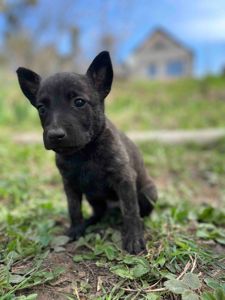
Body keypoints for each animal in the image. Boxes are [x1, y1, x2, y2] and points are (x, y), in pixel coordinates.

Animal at [16, 51, 157, 253]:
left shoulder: (124, 179)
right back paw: (90, 221)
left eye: (79, 102)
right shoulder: (70, 185)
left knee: (138, 211)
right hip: (93, 197)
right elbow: (74, 209)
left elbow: (130, 211)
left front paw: (134, 238)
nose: (54, 135)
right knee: (100, 211)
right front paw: (76, 230)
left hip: (148, 193)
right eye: (41, 108)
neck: (84, 153)